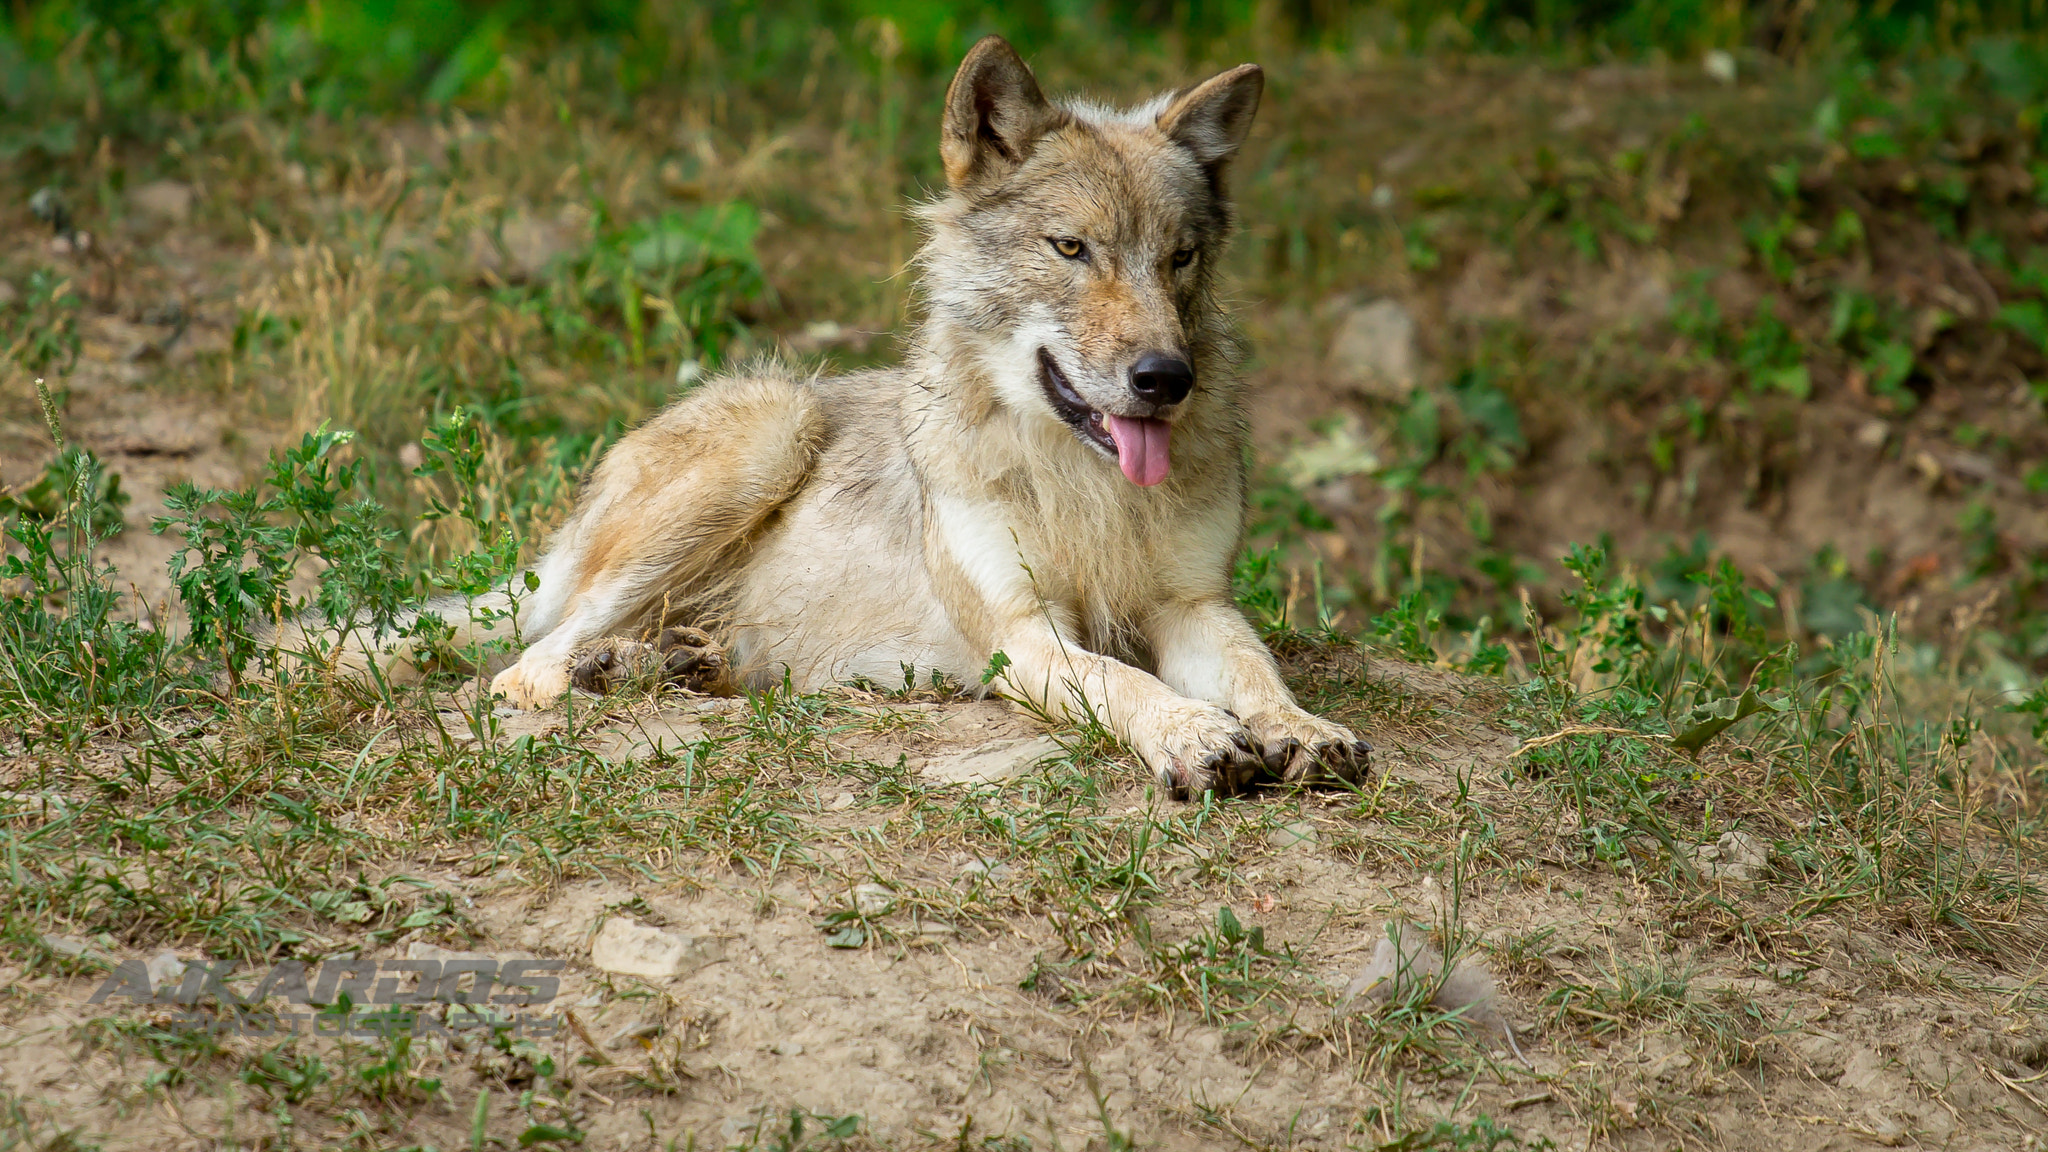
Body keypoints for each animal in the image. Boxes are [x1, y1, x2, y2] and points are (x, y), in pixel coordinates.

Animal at [350, 33, 1368, 787]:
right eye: (1071, 248)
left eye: (1179, 258)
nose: (1166, 378)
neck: (1088, 488)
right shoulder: (1025, 636)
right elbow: (1121, 681)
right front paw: (1193, 736)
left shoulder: (1193, 605)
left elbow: (1256, 670)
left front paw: (1302, 729)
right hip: (772, 427)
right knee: (526, 663)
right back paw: (603, 670)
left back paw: (675, 663)